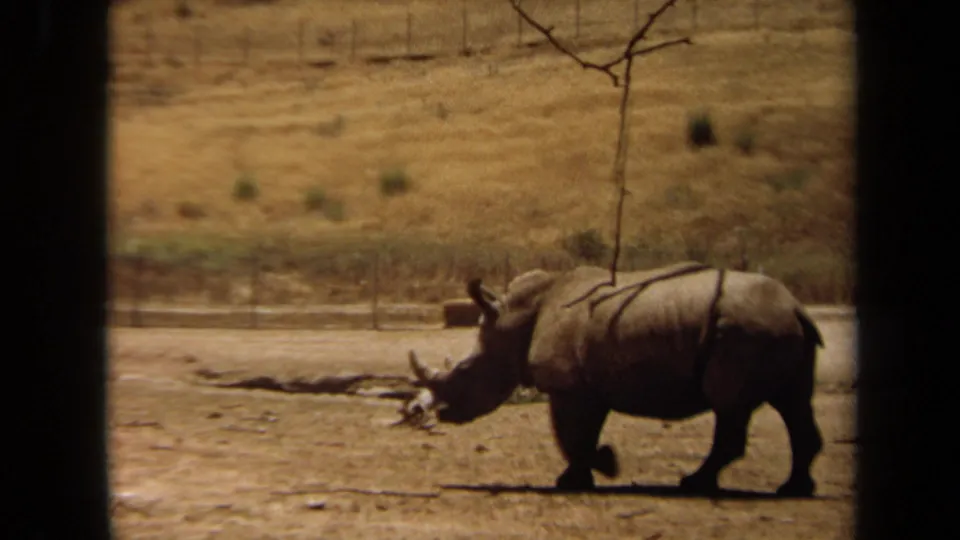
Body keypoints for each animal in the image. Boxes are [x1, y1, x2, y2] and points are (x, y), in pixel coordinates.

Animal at [400, 262, 825, 497]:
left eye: (464, 372)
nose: (442, 412)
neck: (515, 319)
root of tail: (796, 307)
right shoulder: (587, 385)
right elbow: (580, 434)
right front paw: (582, 475)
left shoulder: (569, 386)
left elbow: (571, 437)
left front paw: (600, 467)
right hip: (771, 327)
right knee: (793, 403)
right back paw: (793, 489)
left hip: (746, 330)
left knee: (731, 405)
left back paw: (694, 484)